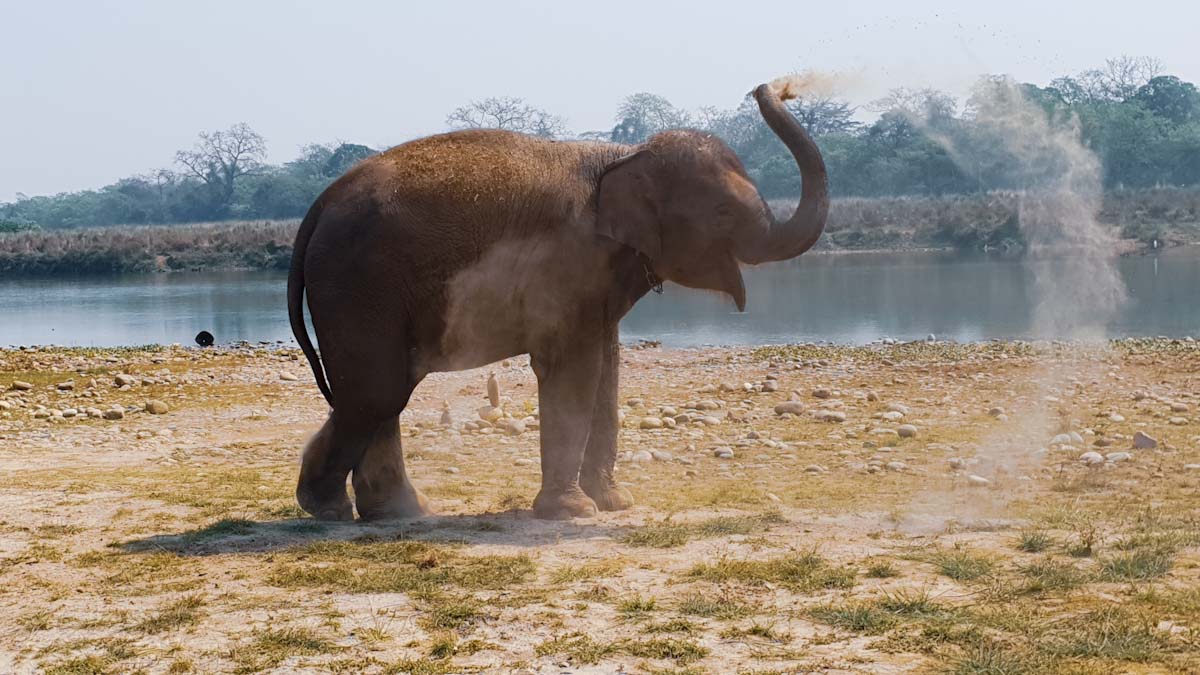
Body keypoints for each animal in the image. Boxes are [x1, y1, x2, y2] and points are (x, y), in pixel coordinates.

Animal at [286, 79, 830, 521]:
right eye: (722, 212)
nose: (767, 87)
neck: (624, 155)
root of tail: (318, 205)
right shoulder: (569, 263)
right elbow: (574, 369)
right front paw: (573, 512)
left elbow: (607, 368)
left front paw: (614, 503)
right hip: (357, 285)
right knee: (378, 392)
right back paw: (329, 509)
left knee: (381, 393)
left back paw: (398, 513)